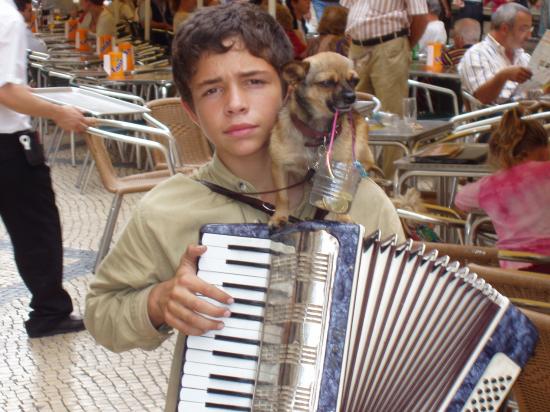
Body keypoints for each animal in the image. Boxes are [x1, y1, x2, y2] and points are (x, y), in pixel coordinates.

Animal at [270, 51, 378, 227]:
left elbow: (341, 194)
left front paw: (343, 217)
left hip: (361, 136)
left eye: (354, 80)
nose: (352, 97)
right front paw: (279, 216)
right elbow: (282, 197)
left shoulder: (342, 168)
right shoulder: (279, 166)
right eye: (327, 83)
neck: (318, 133)